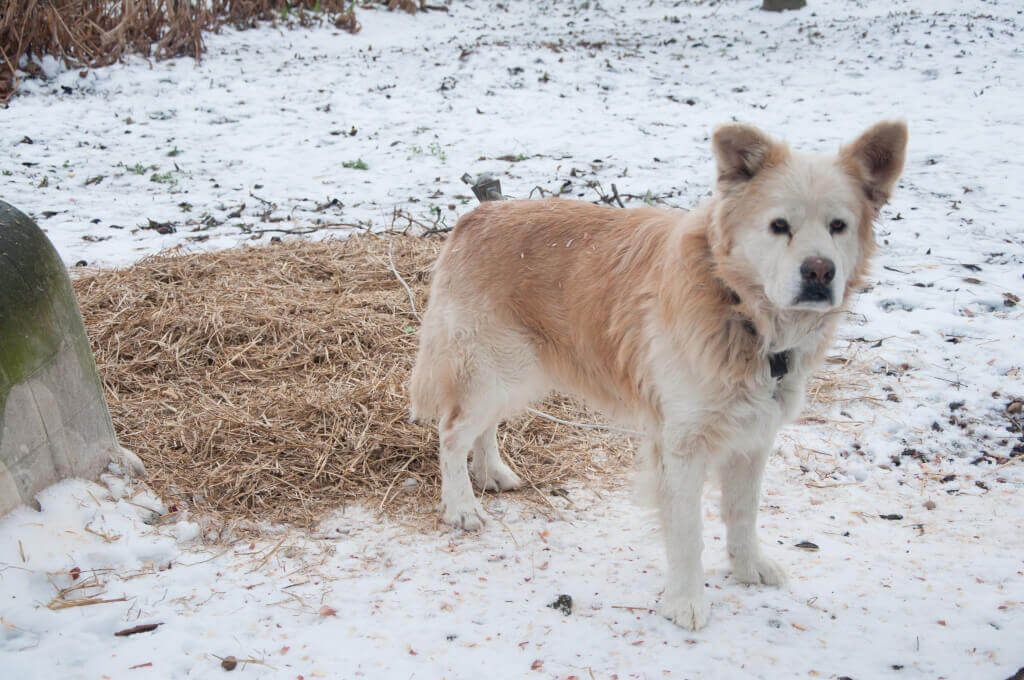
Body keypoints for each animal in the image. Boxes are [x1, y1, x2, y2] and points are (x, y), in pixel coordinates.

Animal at [407, 119, 905, 630]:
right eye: (778, 226)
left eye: (838, 226)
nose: (819, 272)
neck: (737, 306)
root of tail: (477, 216)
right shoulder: (681, 445)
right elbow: (687, 532)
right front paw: (687, 603)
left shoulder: (753, 438)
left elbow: (743, 514)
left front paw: (747, 568)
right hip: (496, 368)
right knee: (452, 432)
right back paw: (462, 507)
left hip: (518, 373)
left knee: (481, 427)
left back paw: (491, 474)